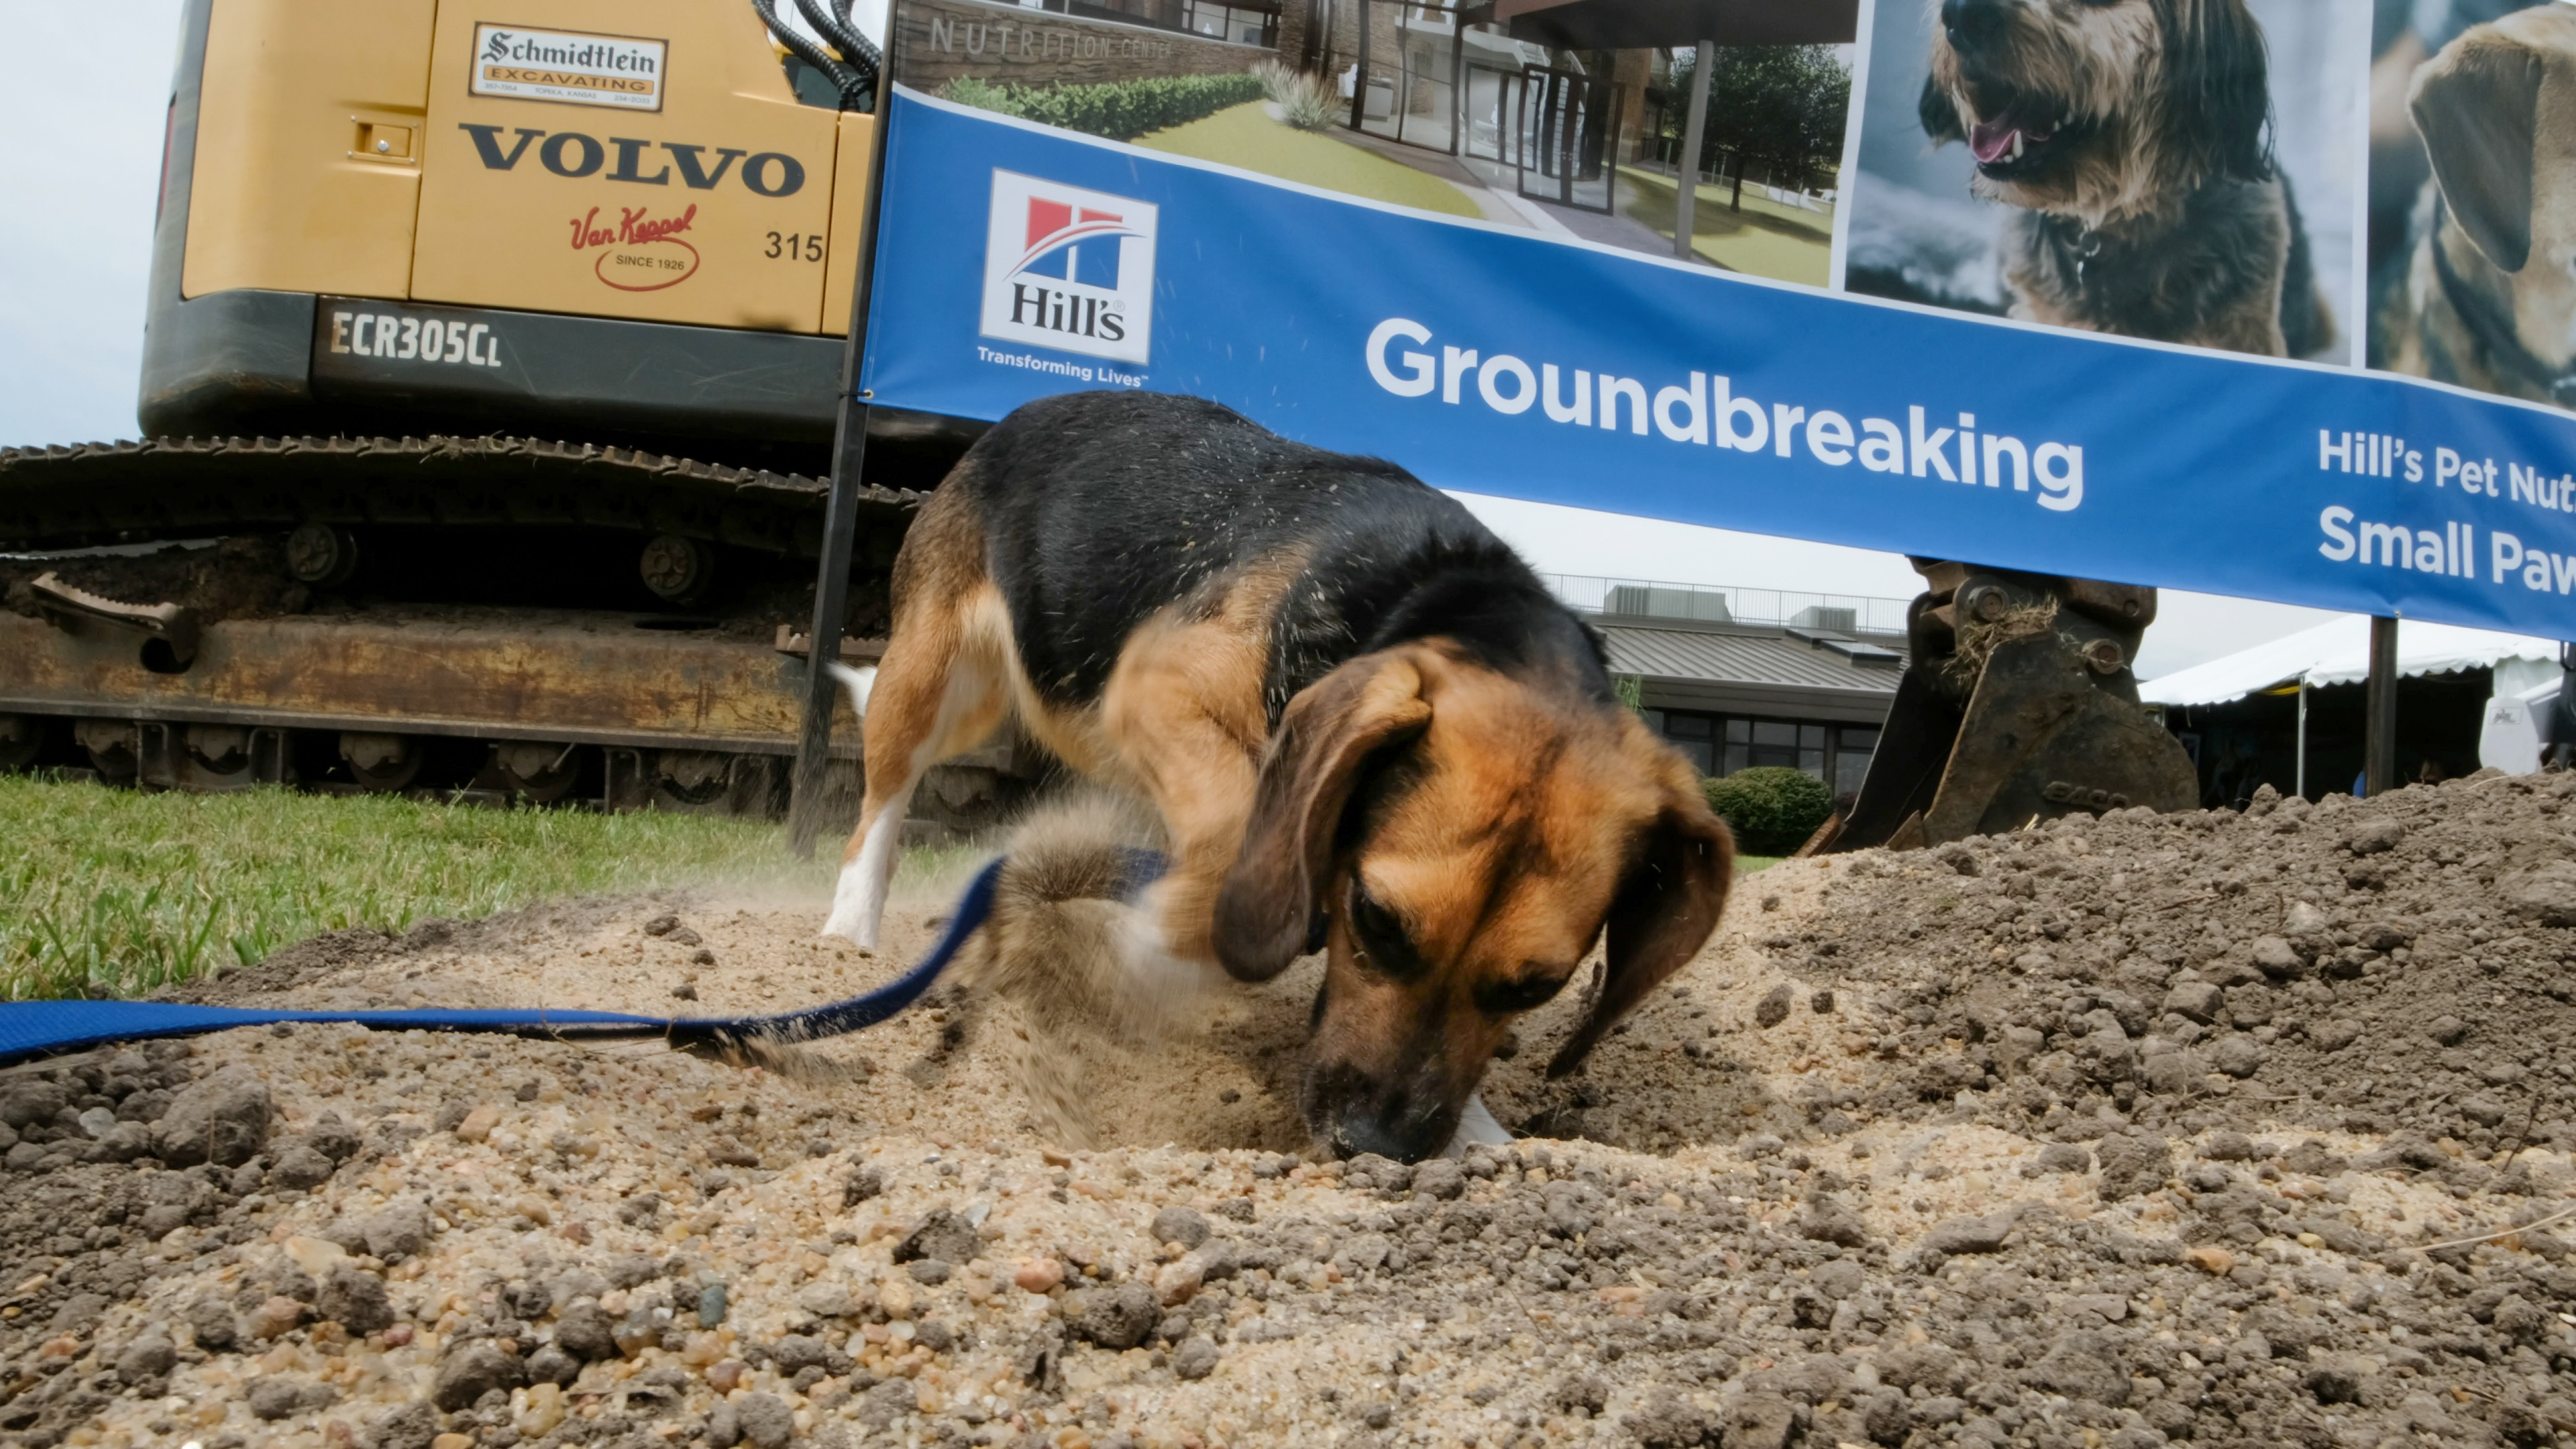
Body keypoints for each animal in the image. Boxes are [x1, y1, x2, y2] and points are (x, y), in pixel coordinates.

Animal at [829, 389, 1731, 1155]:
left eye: (1537, 988)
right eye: (1376, 921)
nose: (1377, 1146)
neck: (1432, 599)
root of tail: (1026, 412)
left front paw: (1480, 1136)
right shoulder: (1160, 683)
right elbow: (1234, 829)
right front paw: (1154, 945)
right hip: (936, 682)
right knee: (881, 804)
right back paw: (852, 931)